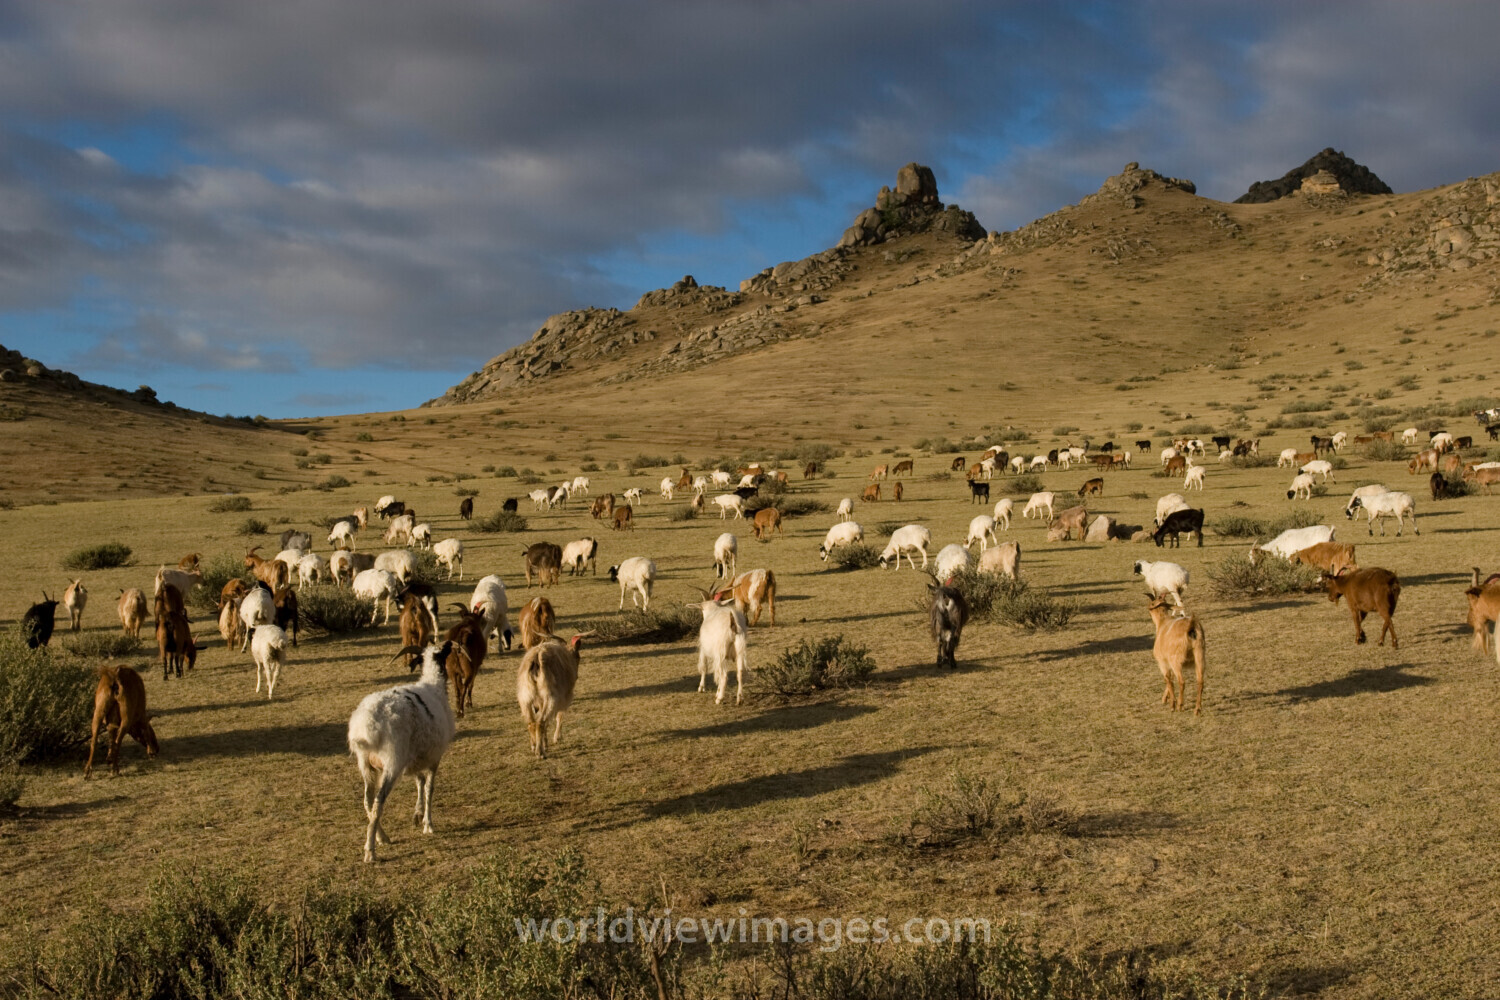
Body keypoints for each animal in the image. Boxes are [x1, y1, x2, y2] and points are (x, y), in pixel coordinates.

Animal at [347, 640, 457, 863]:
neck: (435, 686)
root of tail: (366, 722)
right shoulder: (434, 757)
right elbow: (429, 788)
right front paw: (428, 824)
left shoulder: (414, 757)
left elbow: (419, 781)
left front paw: (417, 815)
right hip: (392, 763)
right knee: (378, 802)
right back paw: (370, 851)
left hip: (367, 764)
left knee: (367, 801)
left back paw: (381, 836)